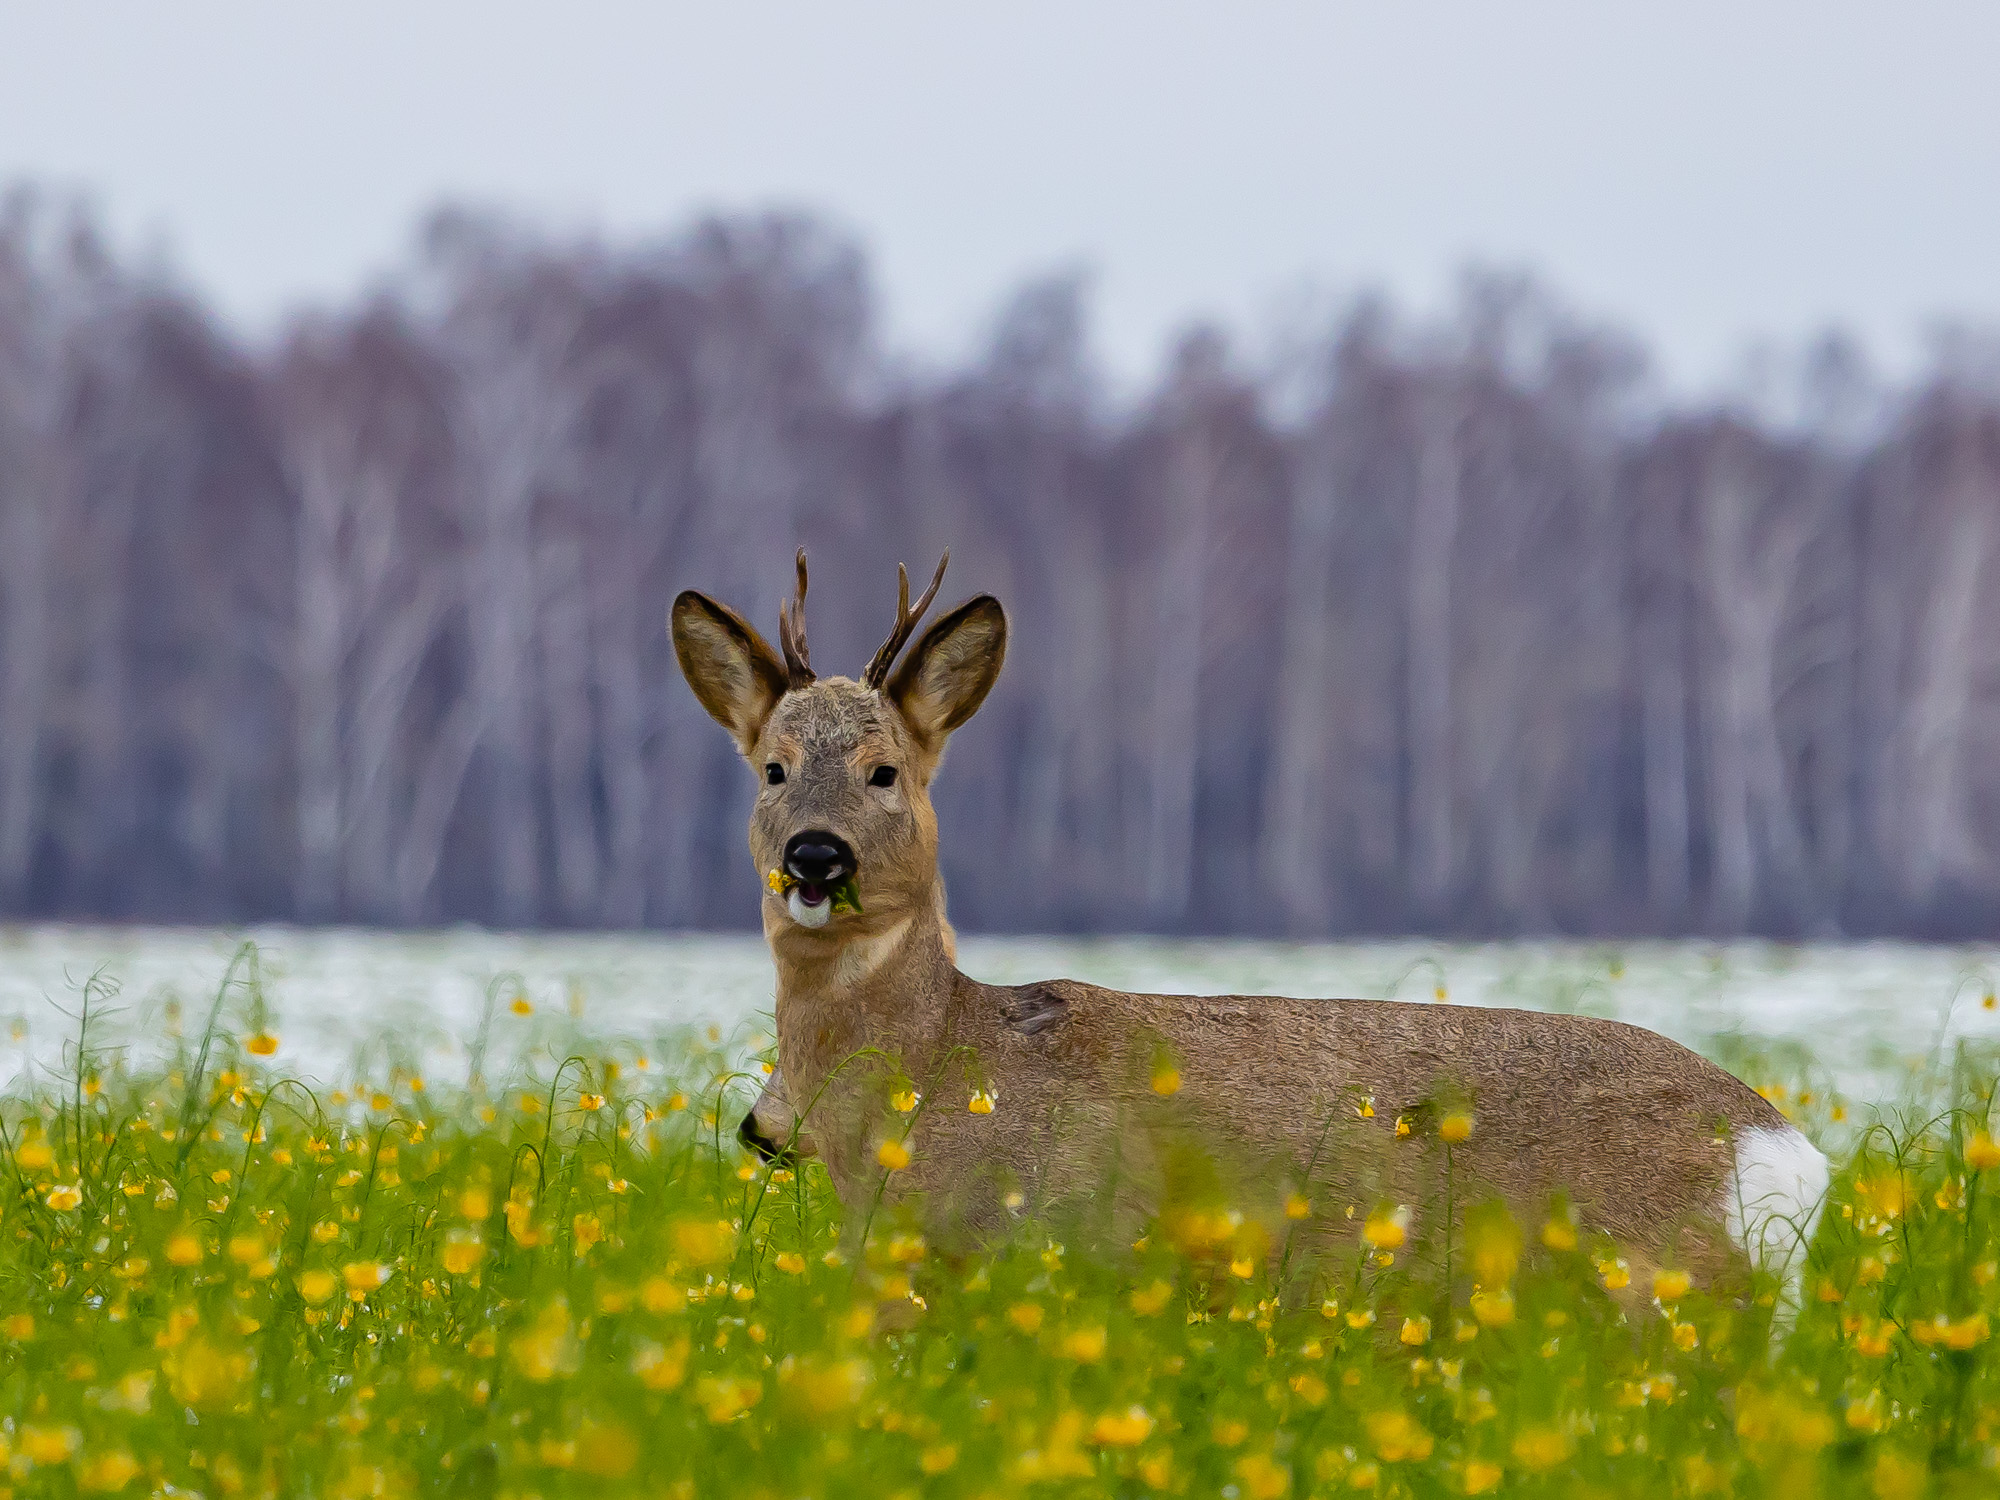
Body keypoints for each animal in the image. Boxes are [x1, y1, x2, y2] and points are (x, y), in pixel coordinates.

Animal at [676, 552, 1832, 1304]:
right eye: (772, 768)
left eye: (885, 772)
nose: (815, 857)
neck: (934, 1065)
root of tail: (1790, 1154)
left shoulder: (1044, 1243)